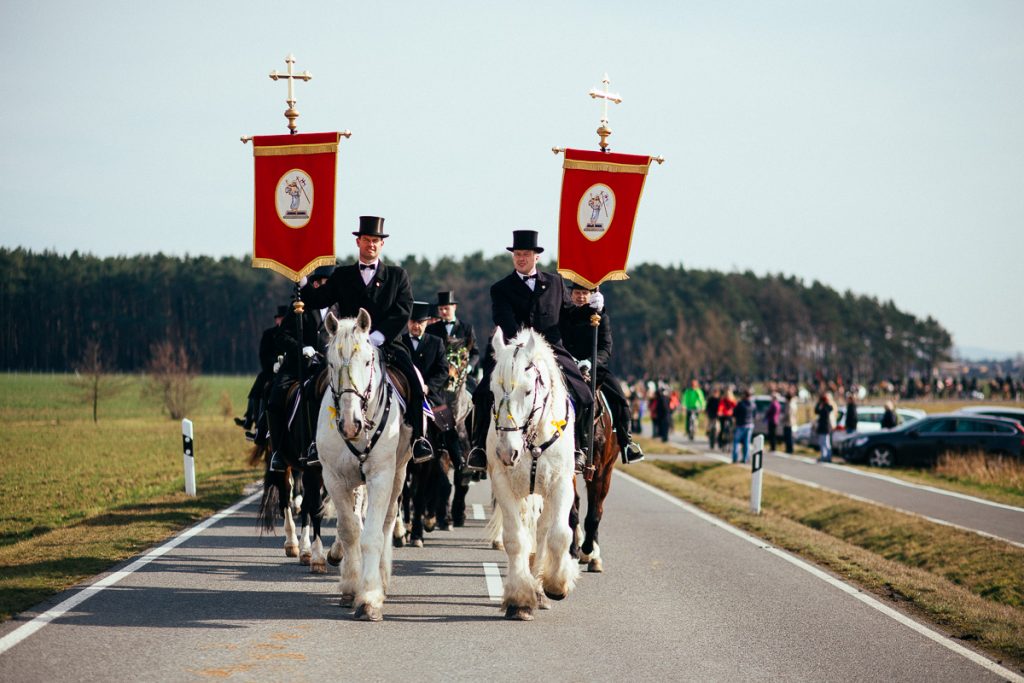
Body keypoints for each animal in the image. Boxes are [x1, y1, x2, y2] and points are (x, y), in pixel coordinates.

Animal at [317, 313, 409, 622]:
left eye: (368, 361)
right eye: (331, 363)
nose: (350, 424)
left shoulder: (381, 476)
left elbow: (372, 536)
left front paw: (369, 597)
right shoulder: (333, 478)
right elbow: (349, 531)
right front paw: (350, 587)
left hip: (399, 474)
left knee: (387, 522)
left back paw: (382, 579)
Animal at [485, 325, 577, 618]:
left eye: (527, 391)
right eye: (492, 390)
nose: (507, 452)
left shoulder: (561, 484)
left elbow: (559, 535)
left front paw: (555, 585)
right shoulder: (502, 483)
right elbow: (515, 539)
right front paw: (519, 599)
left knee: (544, 532)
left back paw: (540, 587)